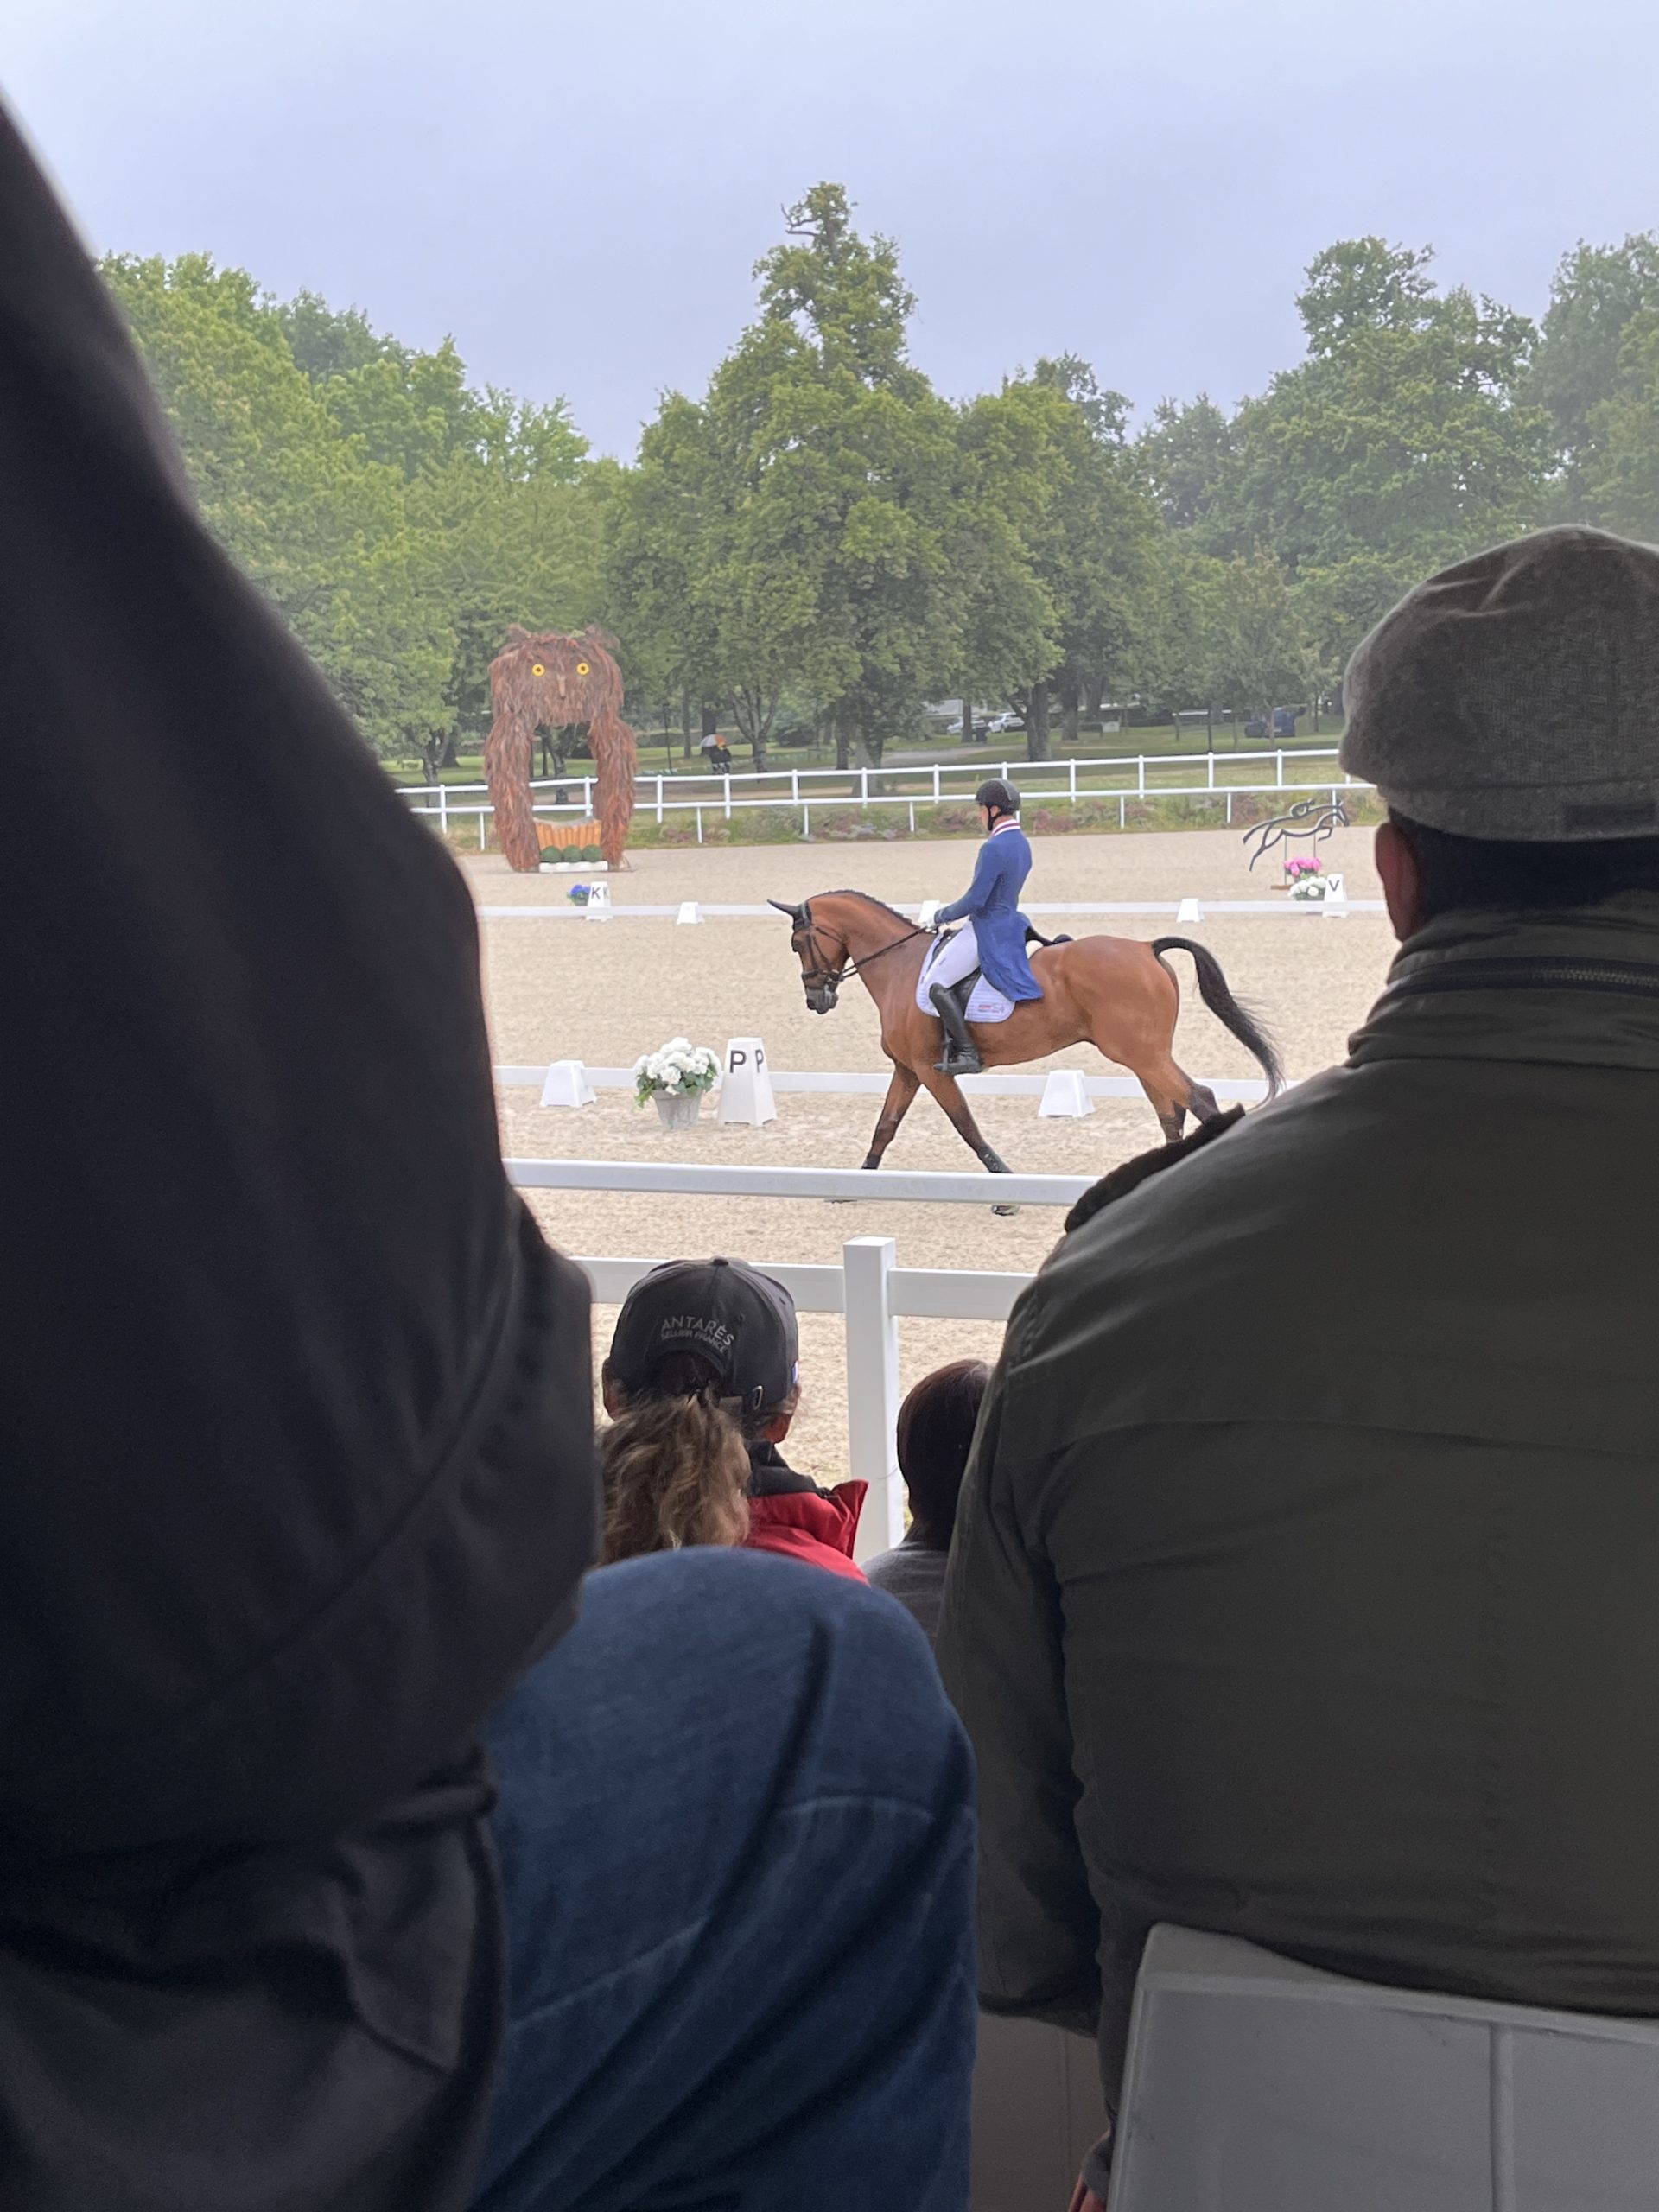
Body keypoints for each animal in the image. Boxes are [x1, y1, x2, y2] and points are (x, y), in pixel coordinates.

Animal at [770, 891, 1282, 1180]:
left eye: (797, 944)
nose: (816, 999)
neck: (899, 965)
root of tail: (1144, 948)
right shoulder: (908, 1070)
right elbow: (885, 1127)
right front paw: (858, 1185)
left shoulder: (931, 1071)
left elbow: (966, 1126)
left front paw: (1004, 1182)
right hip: (1142, 1056)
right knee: (1171, 1112)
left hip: (1142, 1054)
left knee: (1198, 1098)